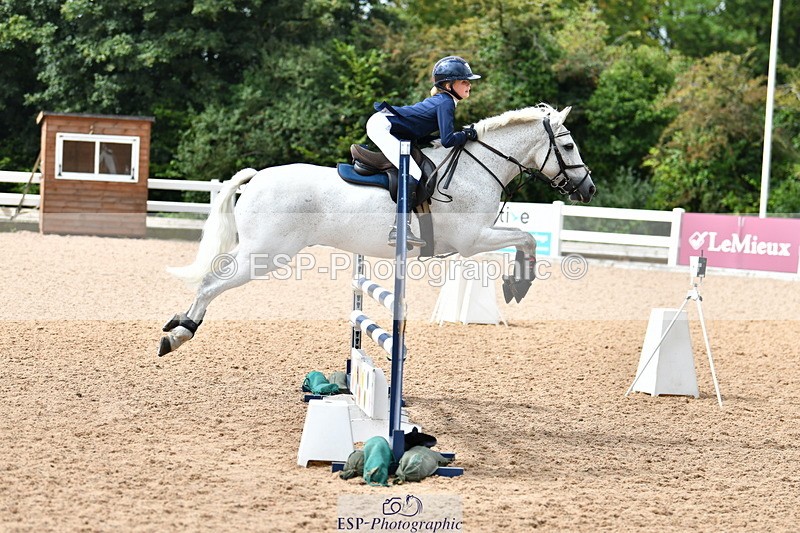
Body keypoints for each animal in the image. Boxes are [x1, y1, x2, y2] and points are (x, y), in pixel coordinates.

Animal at [158, 103, 595, 356]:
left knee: (210, 279)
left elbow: (525, 239)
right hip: (264, 255)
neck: (477, 167)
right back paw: (178, 334)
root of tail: (257, 178)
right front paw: (518, 284)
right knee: (211, 284)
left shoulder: (478, 236)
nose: (588, 189)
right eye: (568, 147)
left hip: (256, 250)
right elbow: (526, 239)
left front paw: (516, 283)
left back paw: (175, 327)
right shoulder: (473, 239)